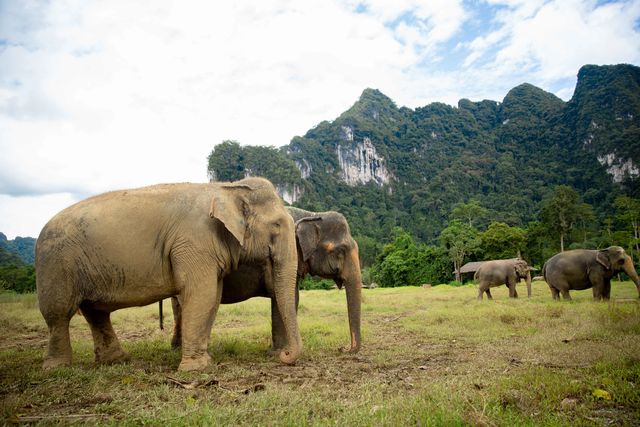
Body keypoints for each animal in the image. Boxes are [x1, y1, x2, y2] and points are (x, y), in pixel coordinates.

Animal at [35, 177, 301, 371]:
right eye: (277, 225)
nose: (285, 355)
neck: (226, 188)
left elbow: (212, 297)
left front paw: (204, 361)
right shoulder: (194, 242)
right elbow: (201, 294)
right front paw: (196, 369)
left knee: (96, 313)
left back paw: (116, 361)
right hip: (56, 265)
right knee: (59, 314)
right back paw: (57, 368)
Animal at [169, 206, 362, 354]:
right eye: (340, 251)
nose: (344, 348)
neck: (310, 213)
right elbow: (286, 297)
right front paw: (280, 352)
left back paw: (177, 348)